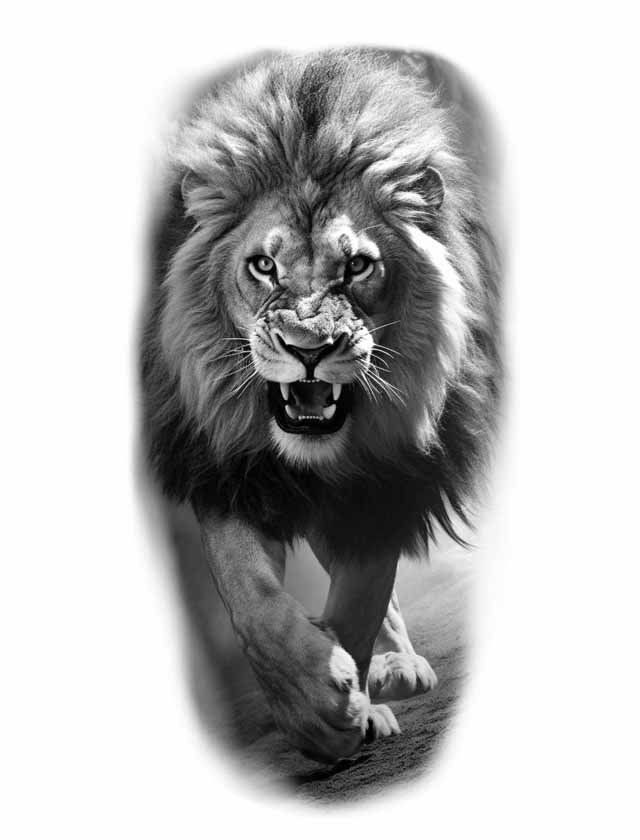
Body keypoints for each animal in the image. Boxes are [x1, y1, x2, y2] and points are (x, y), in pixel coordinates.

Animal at [141, 48, 501, 764]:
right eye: (263, 266)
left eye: (358, 266)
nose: (308, 349)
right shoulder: (226, 466)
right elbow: (249, 596)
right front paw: (313, 702)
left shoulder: (391, 476)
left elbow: (361, 598)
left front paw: (343, 702)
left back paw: (394, 671)